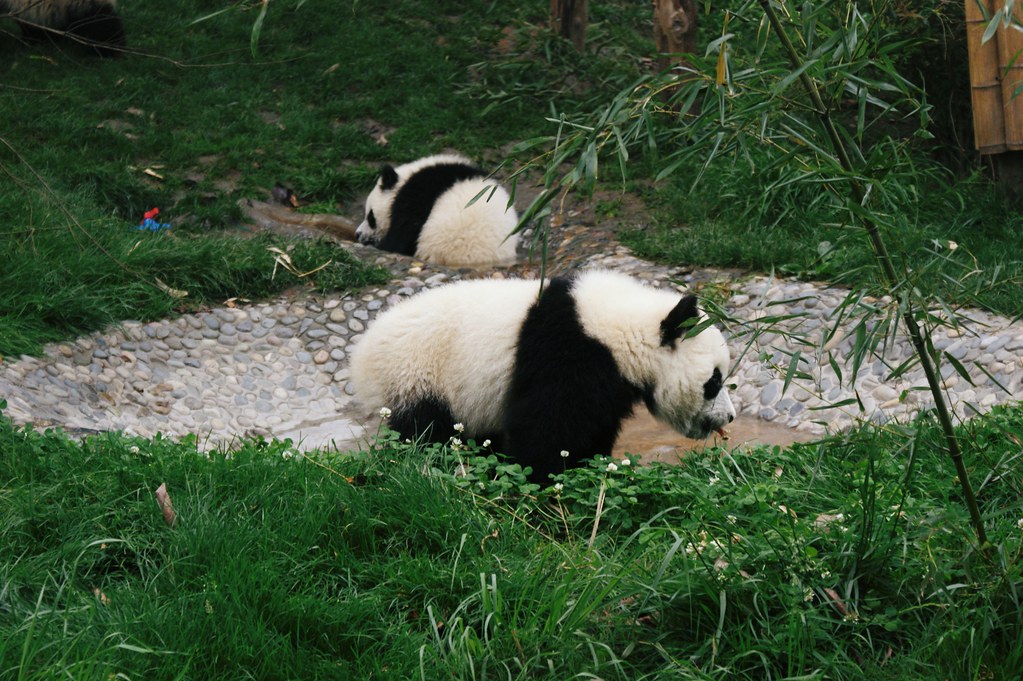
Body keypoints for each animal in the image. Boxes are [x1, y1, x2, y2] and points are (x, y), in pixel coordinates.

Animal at [350, 270, 735, 482]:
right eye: (714, 381)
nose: (729, 416)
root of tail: (362, 356)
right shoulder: (567, 355)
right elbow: (547, 431)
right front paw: (545, 482)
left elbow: (594, 430)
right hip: (418, 376)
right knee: (427, 437)